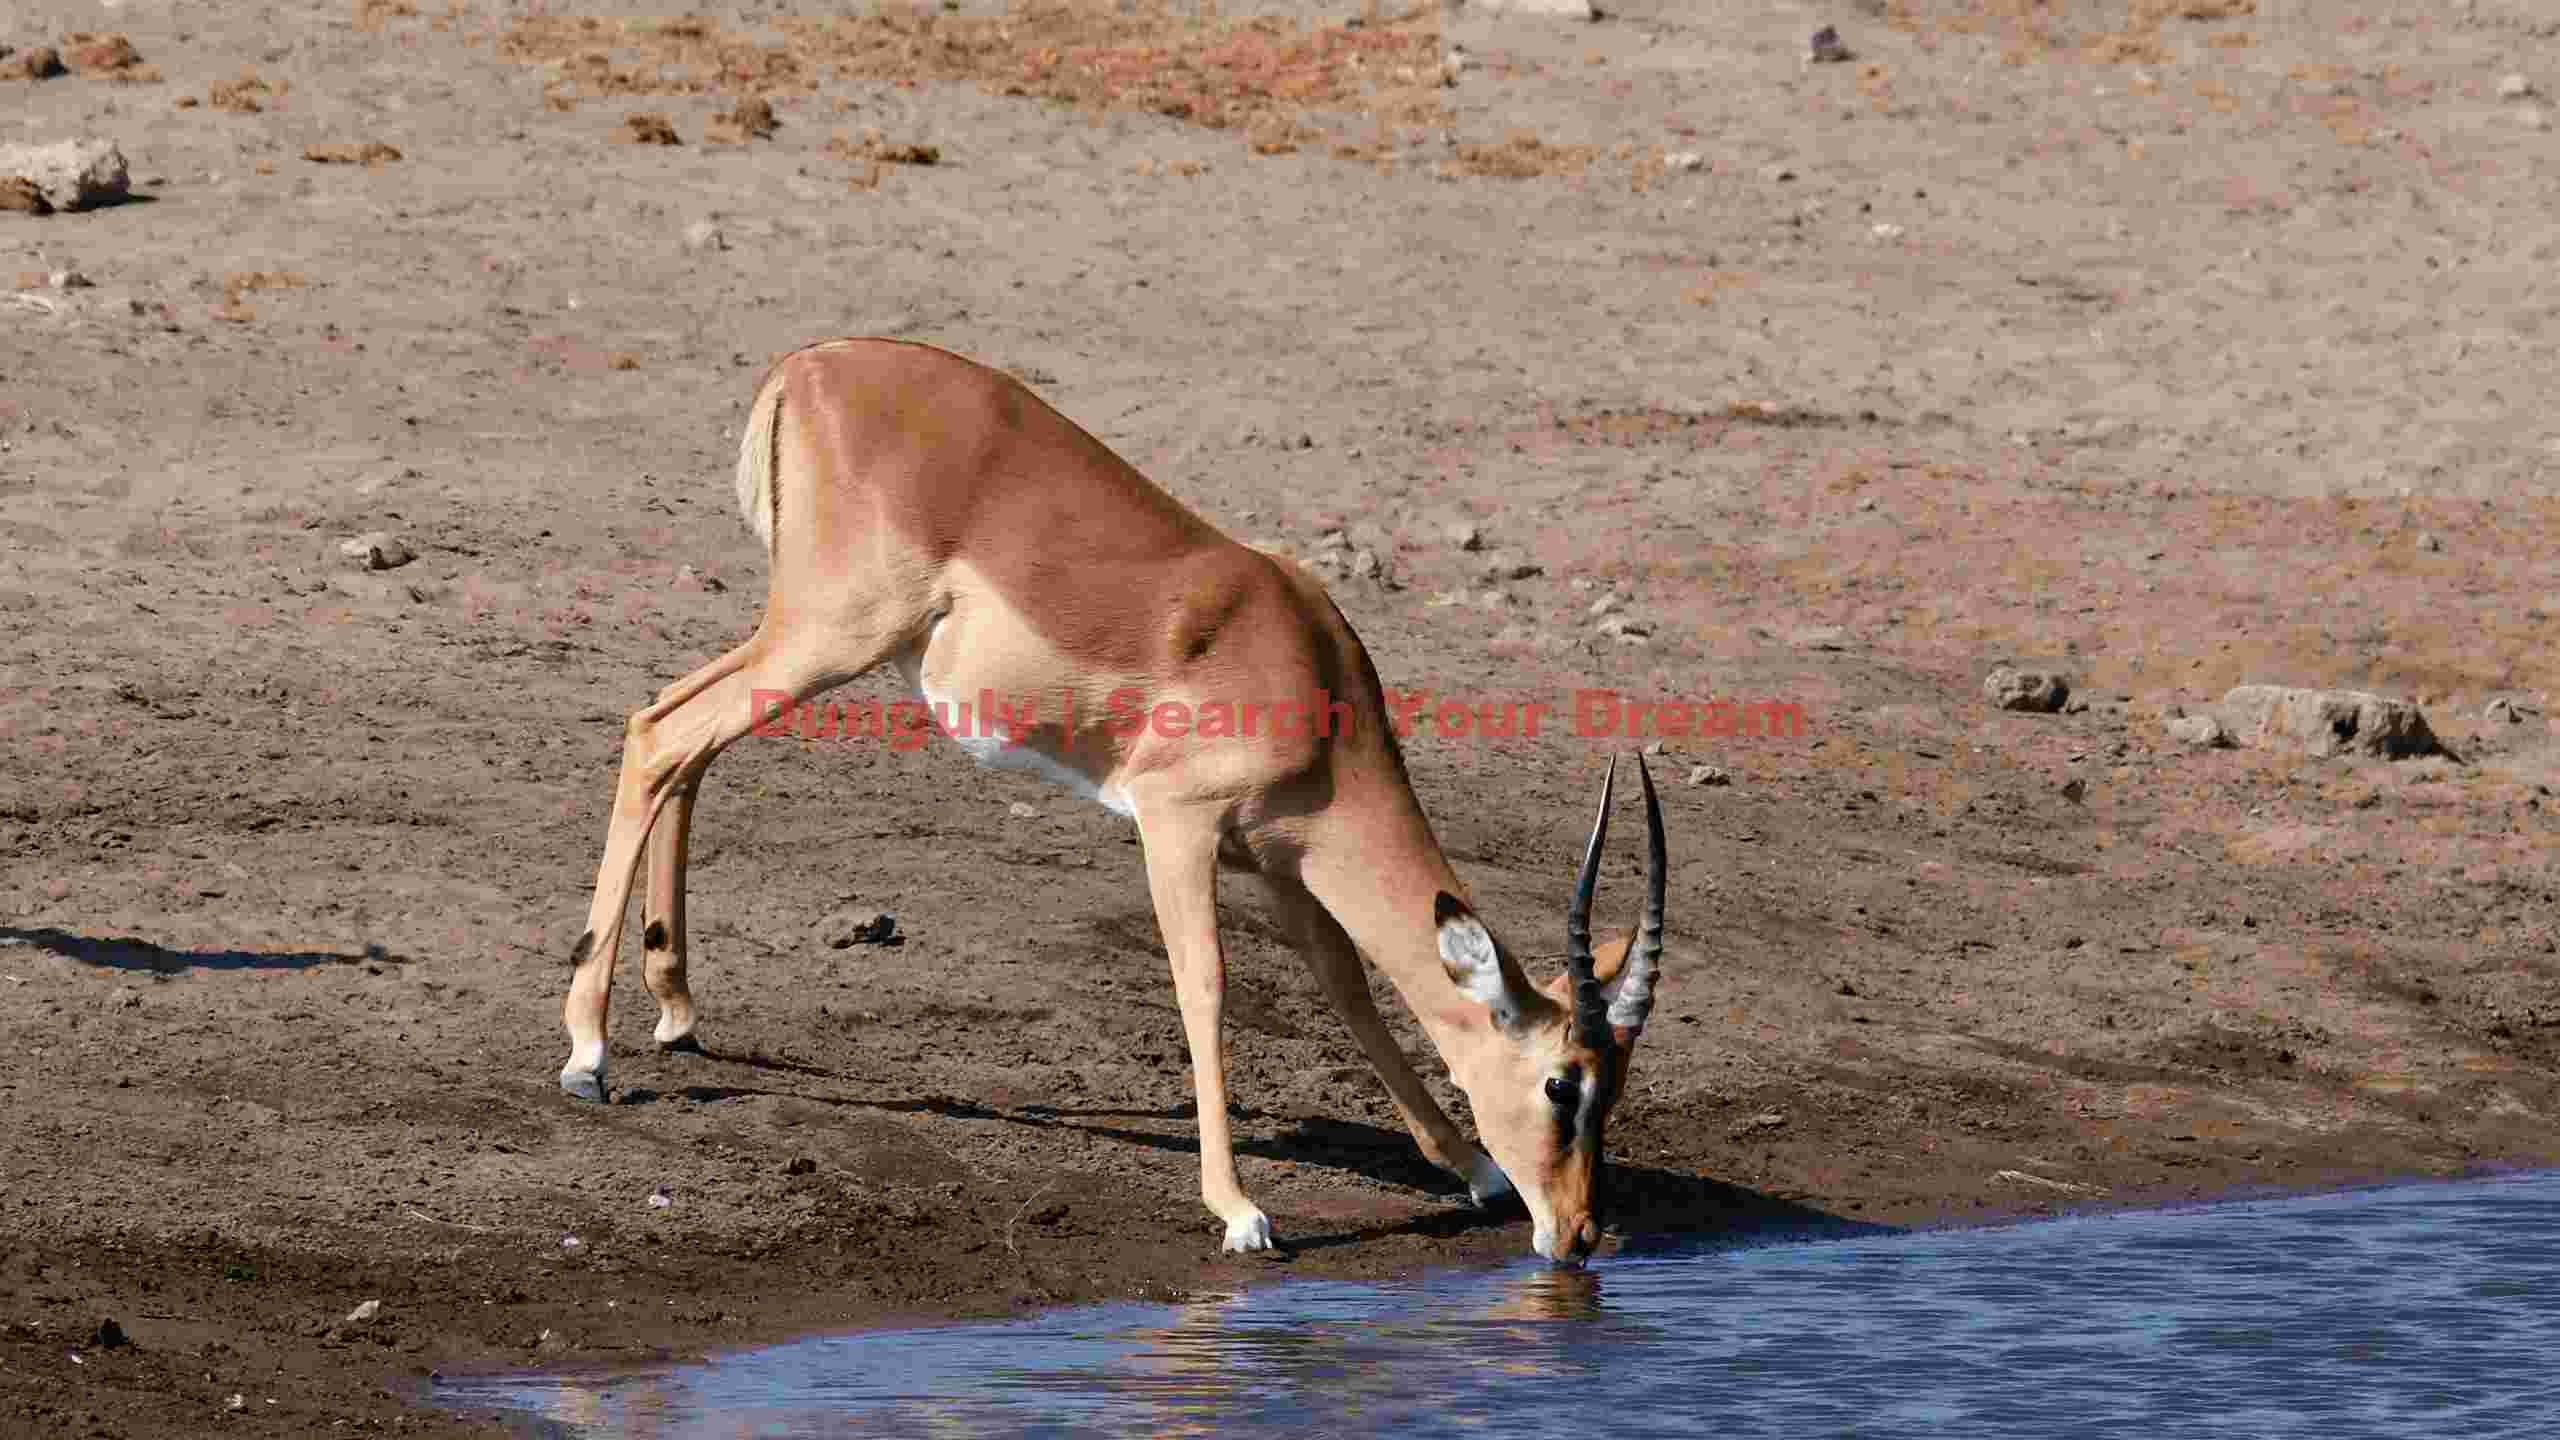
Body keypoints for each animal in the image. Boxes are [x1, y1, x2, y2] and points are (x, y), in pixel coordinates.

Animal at [555, 337, 1670, 1264]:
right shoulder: (1176, 826)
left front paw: (1473, 1167)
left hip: (804, 643)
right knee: (659, 737)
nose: (1578, 1234)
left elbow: (1349, 989)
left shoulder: (1281, 861)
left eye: (1614, 1083)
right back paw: (588, 1055)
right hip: (828, 638)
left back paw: (674, 1009)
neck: (1300, 669)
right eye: (1561, 1083)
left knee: (678, 736)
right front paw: (1241, 1211)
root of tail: (809, 365)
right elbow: (1205, 986)